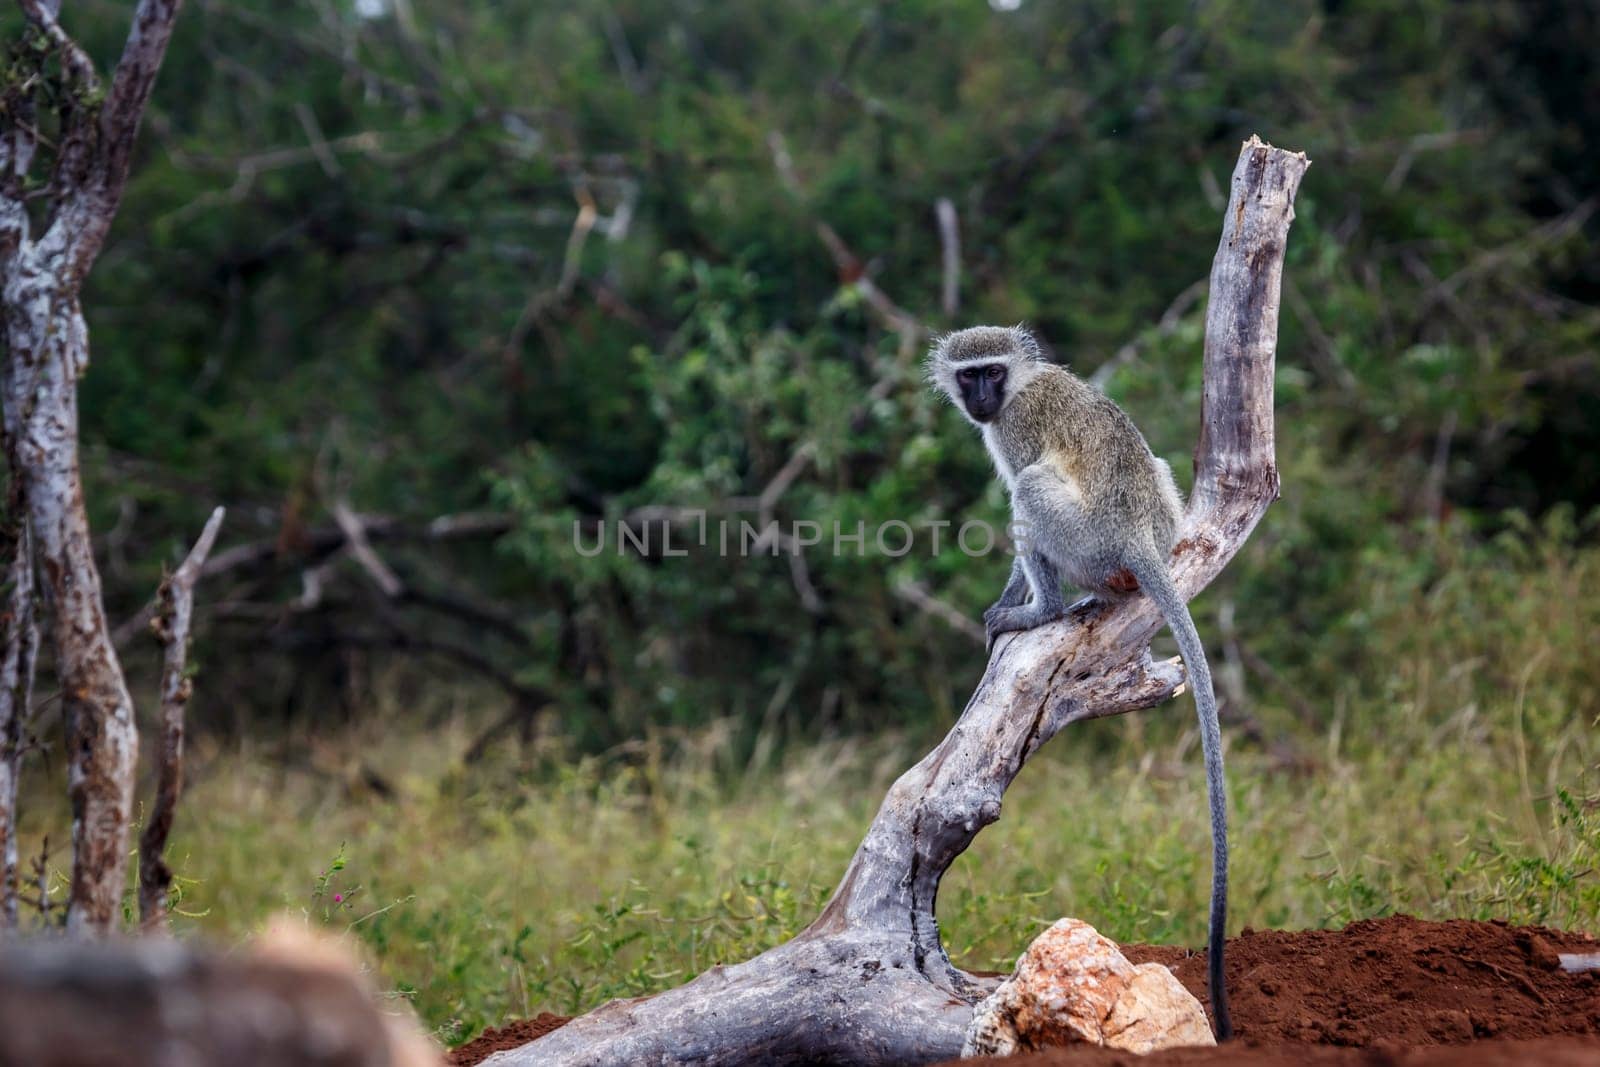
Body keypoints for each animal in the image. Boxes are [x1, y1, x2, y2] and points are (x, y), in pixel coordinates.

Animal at [928, 326, 1235, 1043]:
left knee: (1032, 490)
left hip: (1086, 540)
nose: (979, 400)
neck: (1023, 383)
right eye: (968, 374)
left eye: (991, 372)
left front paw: (1014, 606)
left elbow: (1020, 493)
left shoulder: (1013, 429)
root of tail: (1139, 538)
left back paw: (1046, 609)